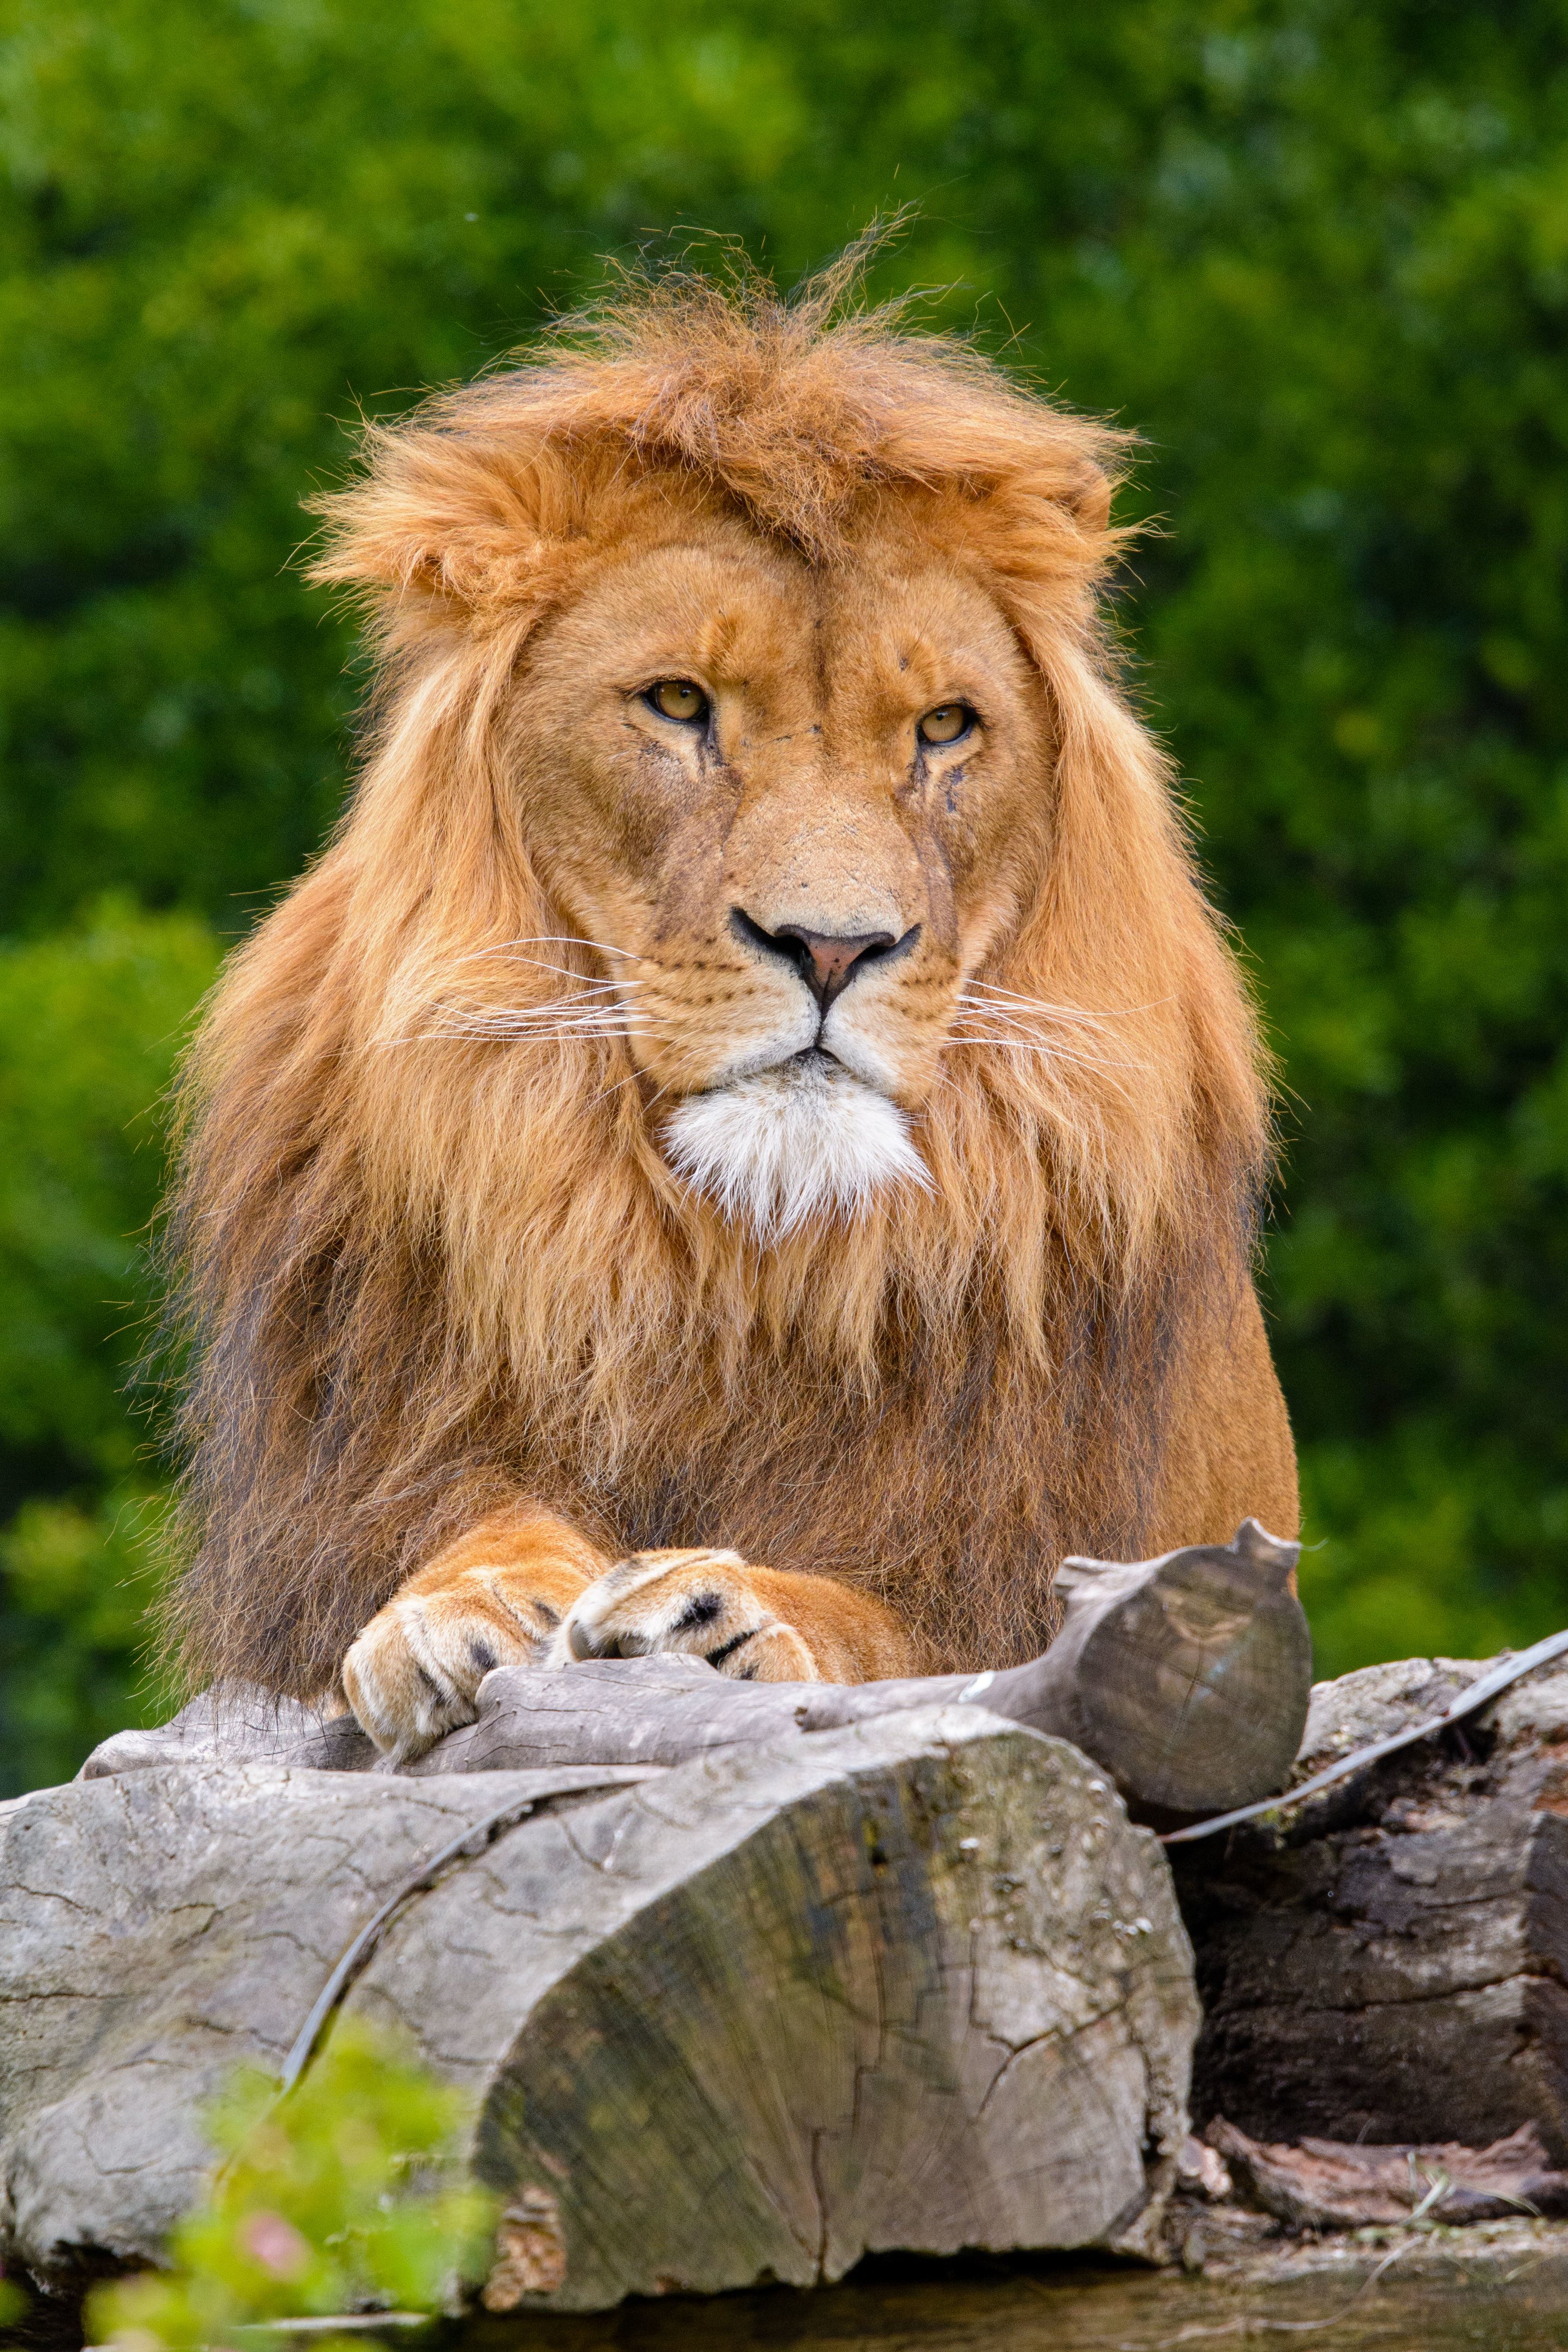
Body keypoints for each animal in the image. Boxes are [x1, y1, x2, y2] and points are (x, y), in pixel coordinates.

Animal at [162, 262, 1297, 1769]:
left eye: (944, 727)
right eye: (676, 702)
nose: (834, 943)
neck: (738, 1271)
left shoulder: (1055, 1560)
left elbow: (912, 1632)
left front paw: (721, 1610)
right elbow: (467, 1517)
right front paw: (456, 1609)